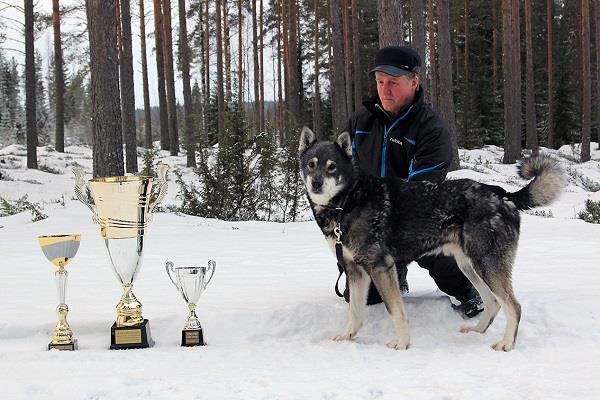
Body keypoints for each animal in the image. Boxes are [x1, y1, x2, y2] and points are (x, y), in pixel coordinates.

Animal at [300, 126, 568, 352]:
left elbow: (396, 312)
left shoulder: (380, 268)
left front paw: (403, 344)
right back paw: (477, 331)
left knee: (513, 306)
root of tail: (502, 194)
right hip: (469, 266)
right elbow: (355, 312)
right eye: (311, 165)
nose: (316, 183)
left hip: (487, 264)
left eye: (332, 167)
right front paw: (347, 336)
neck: (347, 201)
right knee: (493, 303)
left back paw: (506, 344)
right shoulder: (355, 271)